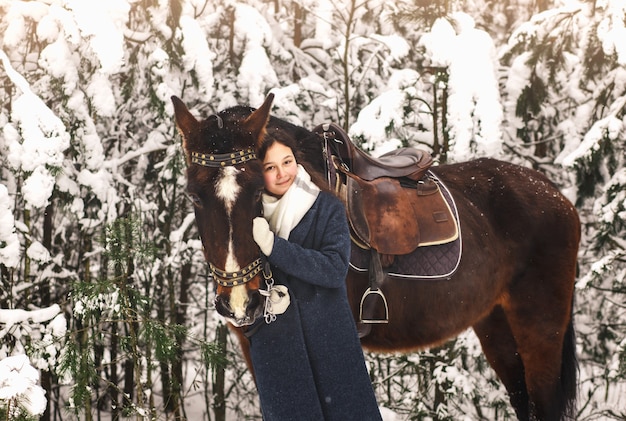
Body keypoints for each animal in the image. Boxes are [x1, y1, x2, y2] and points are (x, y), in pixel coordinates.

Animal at [172, 92, 580, 420]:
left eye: (258, 190)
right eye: (194, 195)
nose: (241, 302)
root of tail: (555, 194)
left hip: (540, 330)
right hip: (496, 327)